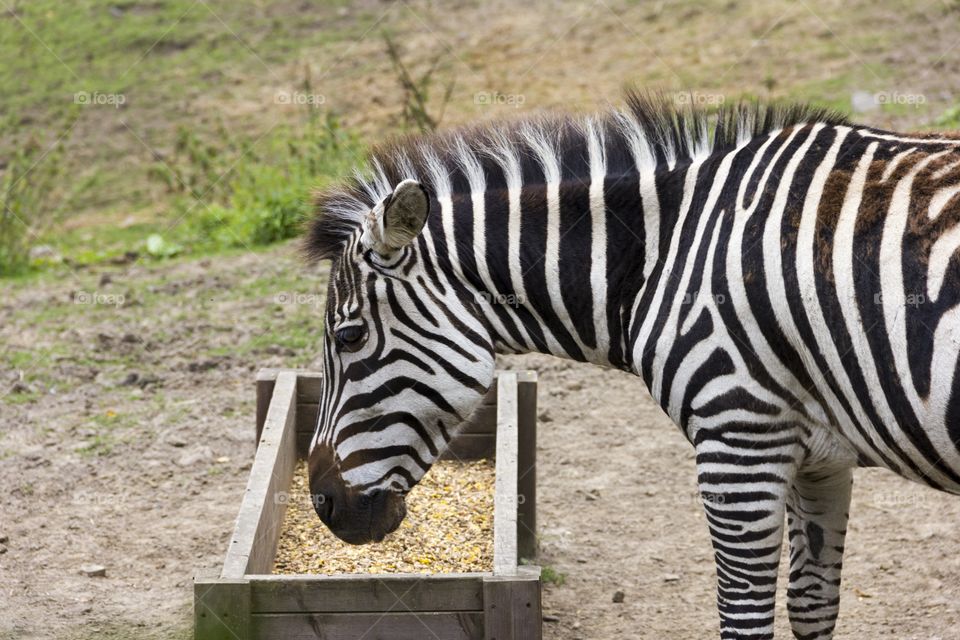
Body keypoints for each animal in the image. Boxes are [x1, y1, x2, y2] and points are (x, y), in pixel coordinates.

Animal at [304, 91, 960, 640]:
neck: (661, 254)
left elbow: (743, 620)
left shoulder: (738, 443)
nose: (322, 504)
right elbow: (812, 608)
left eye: (349, 336)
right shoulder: (821, 456)